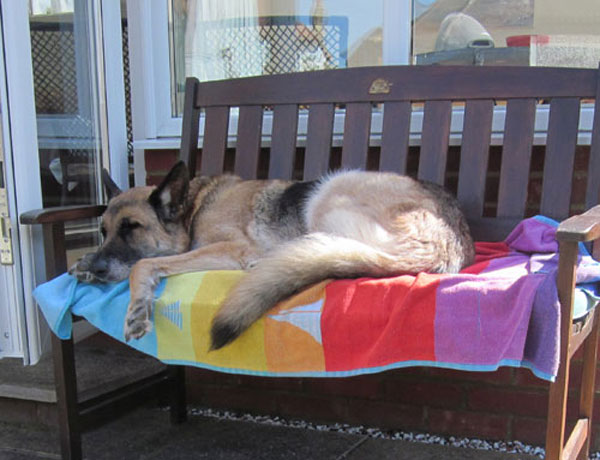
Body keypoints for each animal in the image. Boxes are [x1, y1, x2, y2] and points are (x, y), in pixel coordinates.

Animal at [69, 162, 474, 348]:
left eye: (132, 228)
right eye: (103, 231)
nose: (101, 268)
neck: (195, 205)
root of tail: (450, 243)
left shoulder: (229, 248)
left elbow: (142, 264)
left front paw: (136, 310)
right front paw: (83, 264)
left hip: (330, 190)